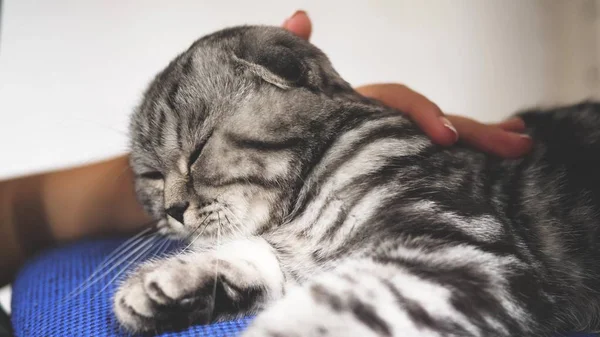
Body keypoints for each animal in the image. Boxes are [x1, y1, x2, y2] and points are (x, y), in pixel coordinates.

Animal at [115, 24, 600, 336]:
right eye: (152, 176)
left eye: (198, 151)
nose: (173, 210)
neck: (298, 210)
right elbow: (254, 255)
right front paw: (166, 284)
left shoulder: (457, 247)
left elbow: (344, 304)